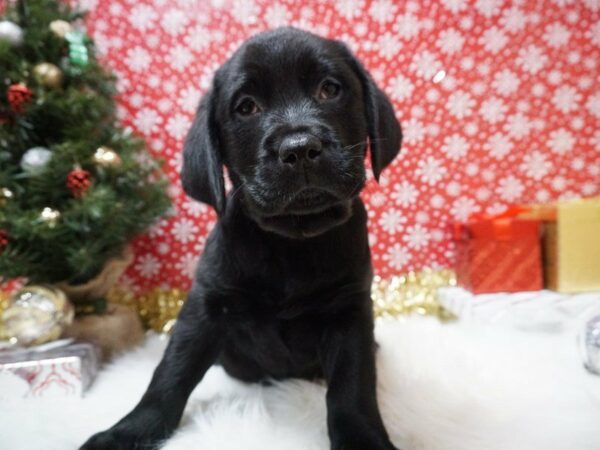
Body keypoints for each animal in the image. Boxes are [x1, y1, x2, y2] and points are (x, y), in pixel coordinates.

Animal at [78, 27, 398, 450]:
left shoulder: (351, 311)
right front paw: (128, 432)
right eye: (246, 108)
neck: (292, 241)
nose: (299, 149)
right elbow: (171, 374)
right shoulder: (206, 306)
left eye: (330, 89)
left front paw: (363, 439)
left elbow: (352, 388)